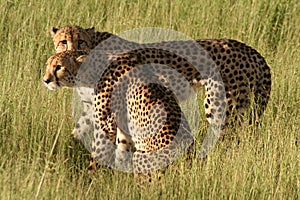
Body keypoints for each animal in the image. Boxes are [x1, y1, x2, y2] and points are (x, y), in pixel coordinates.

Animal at [49, 25, 272, 142]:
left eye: (81, 41)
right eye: (63, 41)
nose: (72, 52)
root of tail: (248, 48)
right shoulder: (92, 107)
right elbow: (77, 131)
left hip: (221, 106)